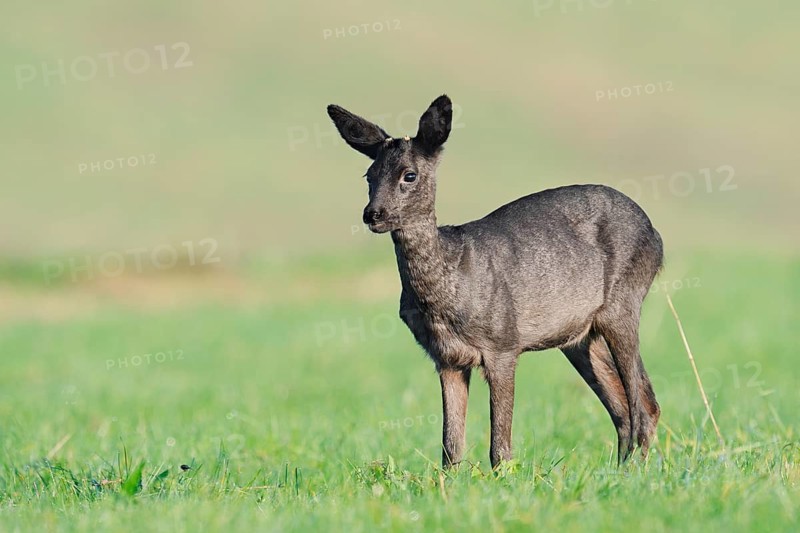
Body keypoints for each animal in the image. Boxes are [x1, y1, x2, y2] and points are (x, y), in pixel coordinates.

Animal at [327, 95, 663, 469]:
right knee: (625, 408)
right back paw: (620, 469)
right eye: (369, 174)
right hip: (580, 337)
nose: (372, 214)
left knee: (642, 404)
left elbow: (499, 446)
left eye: (409, 175)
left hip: (624, 302)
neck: (451, 285)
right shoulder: (446, 358)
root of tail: (656, 235)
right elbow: (450, 446)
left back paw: (635, 471)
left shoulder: (504, 344)